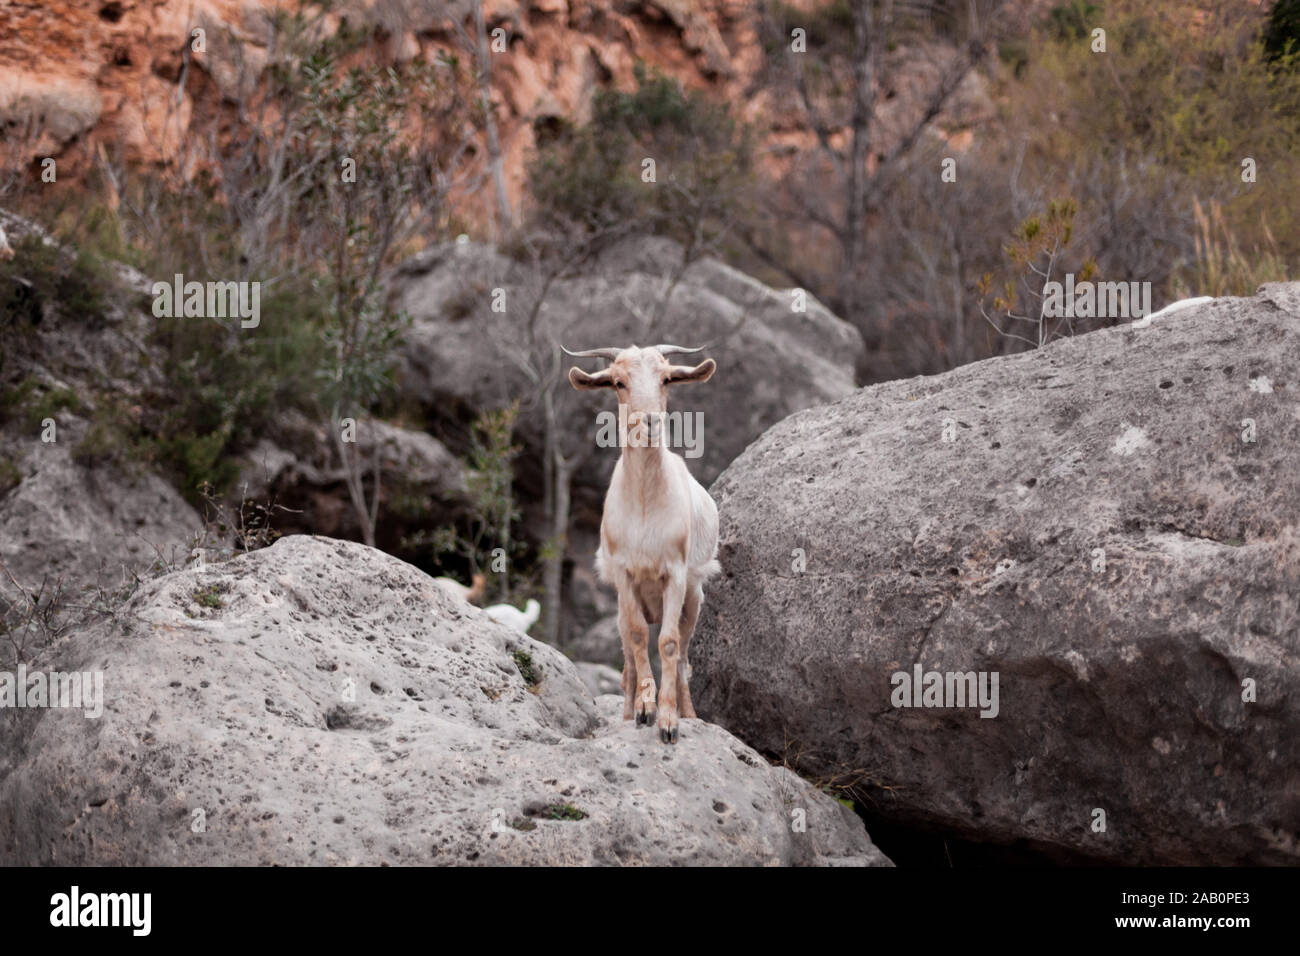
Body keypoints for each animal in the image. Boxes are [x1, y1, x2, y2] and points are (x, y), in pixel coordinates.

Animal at [564, 343, 722, 749]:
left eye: (666, 378)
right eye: (619, 382)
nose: (649, 422)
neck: (646, 505)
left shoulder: (676, 574)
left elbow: (667, 644)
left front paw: (668, 722)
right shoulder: (624, 575)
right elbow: (638, 638)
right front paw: (644, 709)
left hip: (694, 599)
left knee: (683, 659)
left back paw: (689, 712)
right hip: (622, 608)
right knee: (627, 663)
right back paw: (627, 710)